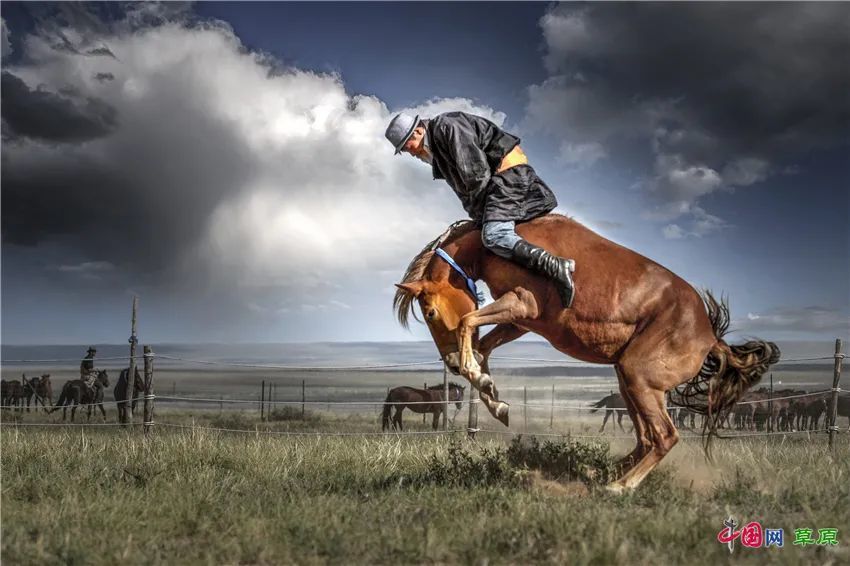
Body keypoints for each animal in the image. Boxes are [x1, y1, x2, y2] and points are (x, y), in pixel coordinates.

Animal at [394, 215, 780, 494]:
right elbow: (482, 346)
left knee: (665, 436)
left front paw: (479, 378)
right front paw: (493, 397)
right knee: (646, 438)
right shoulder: (522, 320)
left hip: (639, 377)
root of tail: (709, 337)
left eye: (430, 313)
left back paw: (620, 486)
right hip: (628, 382)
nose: (450, 364)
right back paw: (601, 471)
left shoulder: (521, 304)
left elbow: (467, 324)